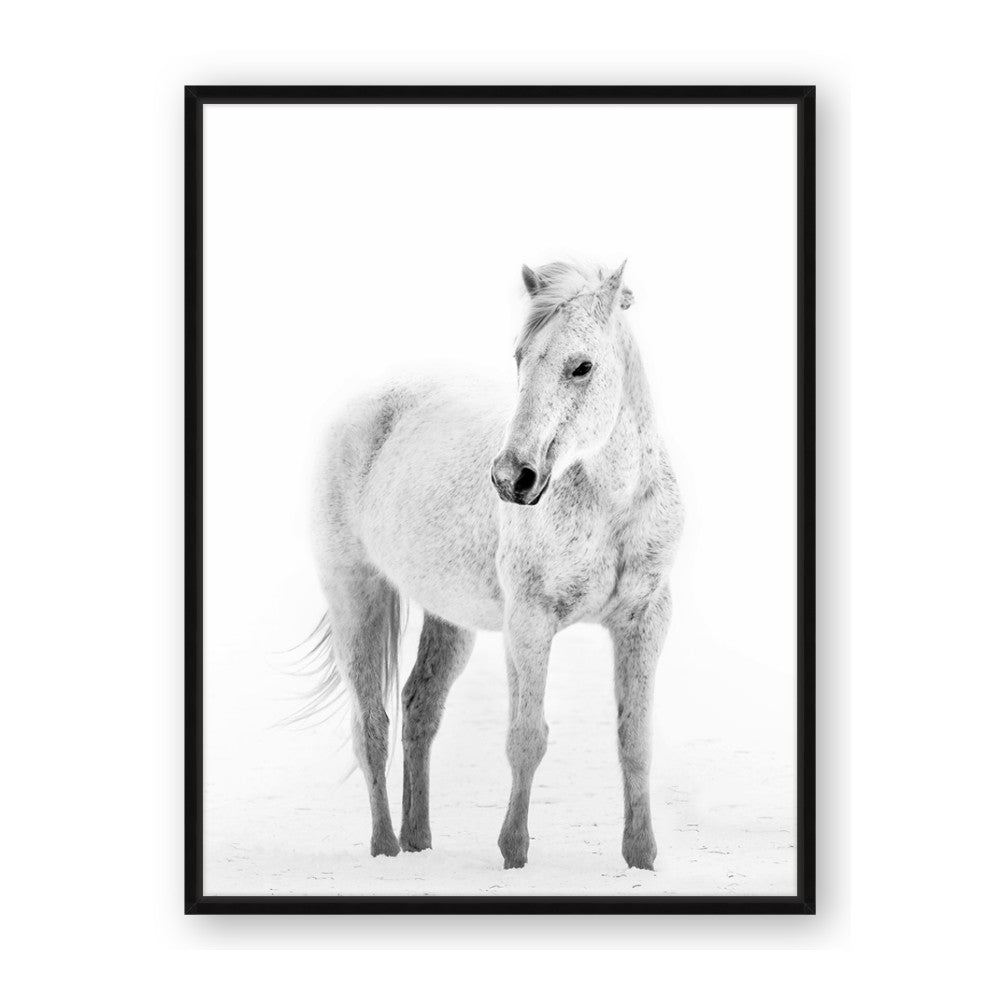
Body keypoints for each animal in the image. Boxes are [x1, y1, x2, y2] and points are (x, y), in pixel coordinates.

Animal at [306, 259, 683, 870]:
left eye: (582, 366)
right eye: (520, 358)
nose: (512, 478)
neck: (611, 505)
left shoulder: (645, 620)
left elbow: (635, 741)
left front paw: (641, 858)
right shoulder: (529, 623)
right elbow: (526, 738)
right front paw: (514, 854)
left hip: (448, 618)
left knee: (419, 708)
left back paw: (418, 840)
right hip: (354, 595)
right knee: (372, 726)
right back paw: (386, 849)